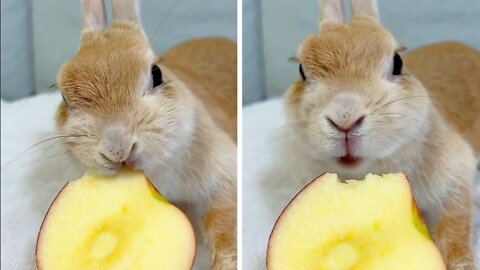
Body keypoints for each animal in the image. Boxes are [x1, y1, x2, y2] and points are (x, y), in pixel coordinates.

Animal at [54, 1, 236, 268]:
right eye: (64, 98)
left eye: (156, 73)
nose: (118, 150)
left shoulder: (223, 173)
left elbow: (222, 224)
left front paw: (227, 262)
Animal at [284, 0, 478, 268]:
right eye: (302, 71)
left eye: (397, 62)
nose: (344, 119)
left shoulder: (456, 176)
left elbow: (455, 224)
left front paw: (460, 263)